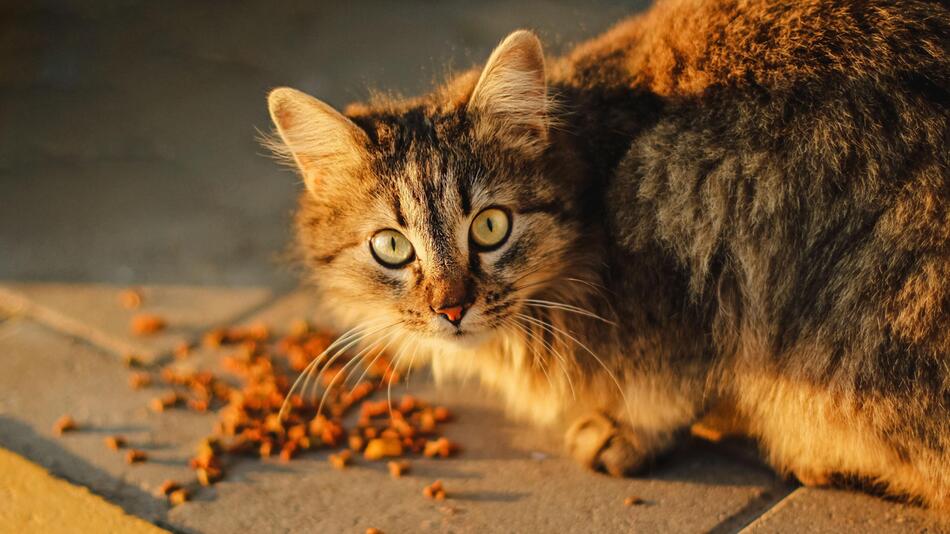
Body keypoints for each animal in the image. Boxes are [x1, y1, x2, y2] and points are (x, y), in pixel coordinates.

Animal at [266, 0, 950, 510]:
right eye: (391, 246)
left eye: (489, 226)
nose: (451, 309)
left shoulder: (687, 241)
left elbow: (665, 383)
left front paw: (626, 429)